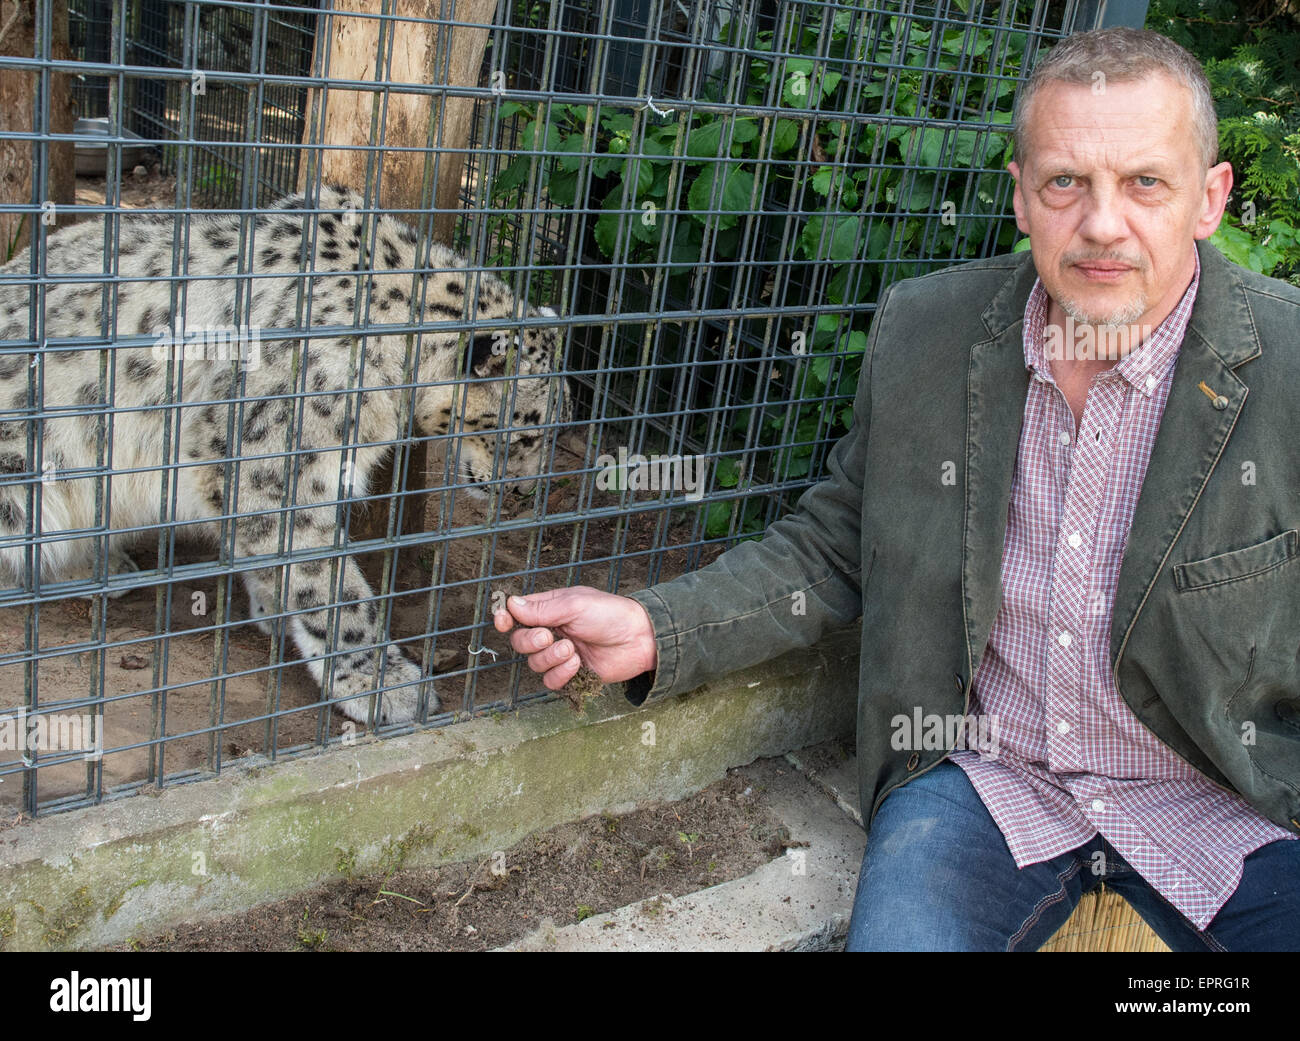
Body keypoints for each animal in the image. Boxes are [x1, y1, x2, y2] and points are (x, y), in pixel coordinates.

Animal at [0, 185, 569, 725]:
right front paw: (382, 684)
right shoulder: (275, 469)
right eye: (527, 434)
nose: (525, 491)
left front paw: (272, 606)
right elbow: (330, 589)